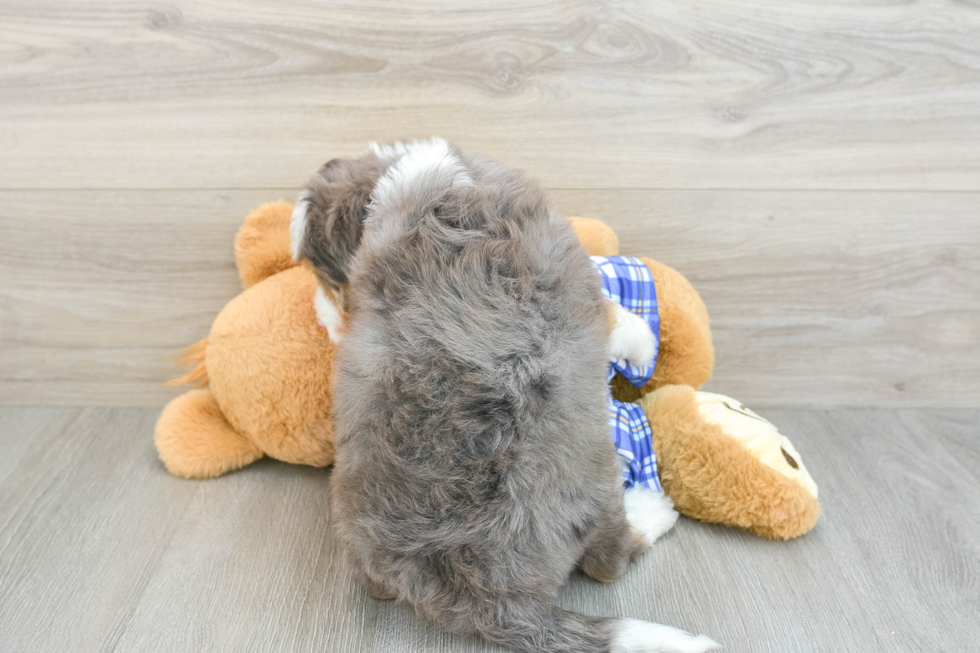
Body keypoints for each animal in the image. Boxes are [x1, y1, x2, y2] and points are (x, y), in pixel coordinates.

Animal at [290, 139, 712, 652]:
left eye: (325, 276)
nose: (325, 322)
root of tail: (487, 597)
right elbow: (618, 316)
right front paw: (645, 343)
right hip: (596, 491)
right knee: (609, 561)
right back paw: (653, 509)